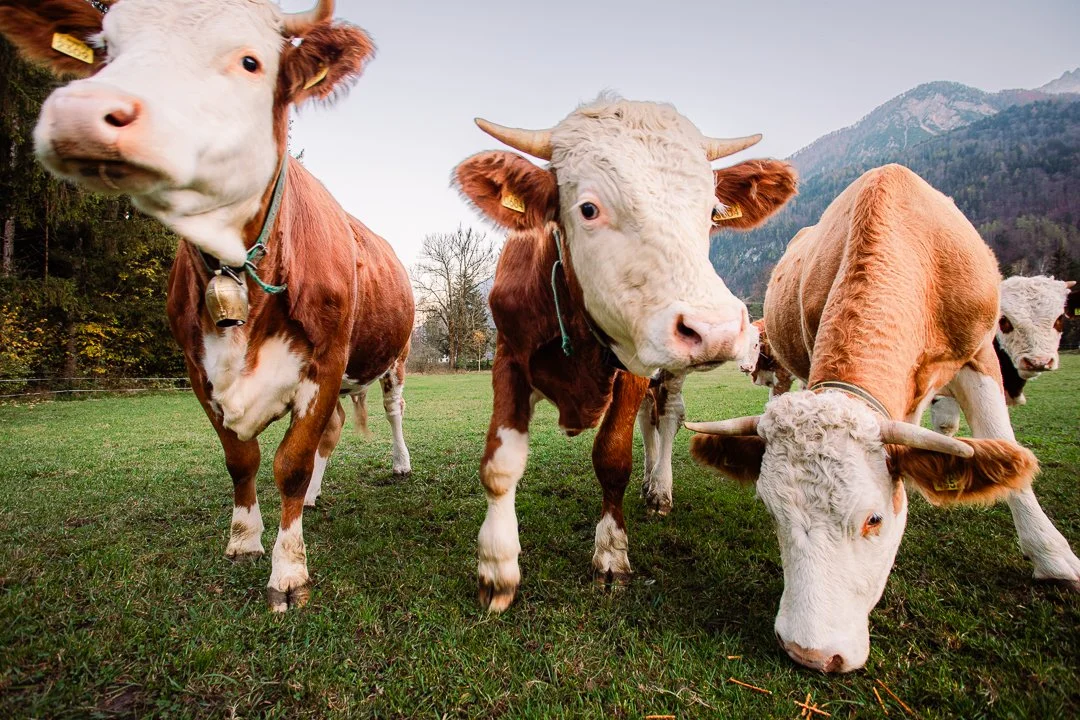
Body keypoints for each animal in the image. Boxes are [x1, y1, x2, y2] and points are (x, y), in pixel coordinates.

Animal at [0, 0, 414, 612]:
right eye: (105, 51)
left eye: (250, 62)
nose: (82, 112)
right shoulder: (198, 368)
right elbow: (242, 459)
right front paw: (244, 539)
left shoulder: (326, 356)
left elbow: (290, 464)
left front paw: (289, 572)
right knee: (334, 426)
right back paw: (317, 495)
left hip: (394, 357)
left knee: (389, 410)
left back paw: (400, 462)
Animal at [453, 96, 798, 611]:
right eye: (588, 208)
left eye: (712, 213)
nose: (715, 328)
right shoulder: (508, 358)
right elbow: (500, 465)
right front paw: (497, 568)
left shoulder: (635, 366)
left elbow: (613, 459)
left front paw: (611, 555)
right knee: (651, 422)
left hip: (669, 367)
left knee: (667, 416)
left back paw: (660, 489)